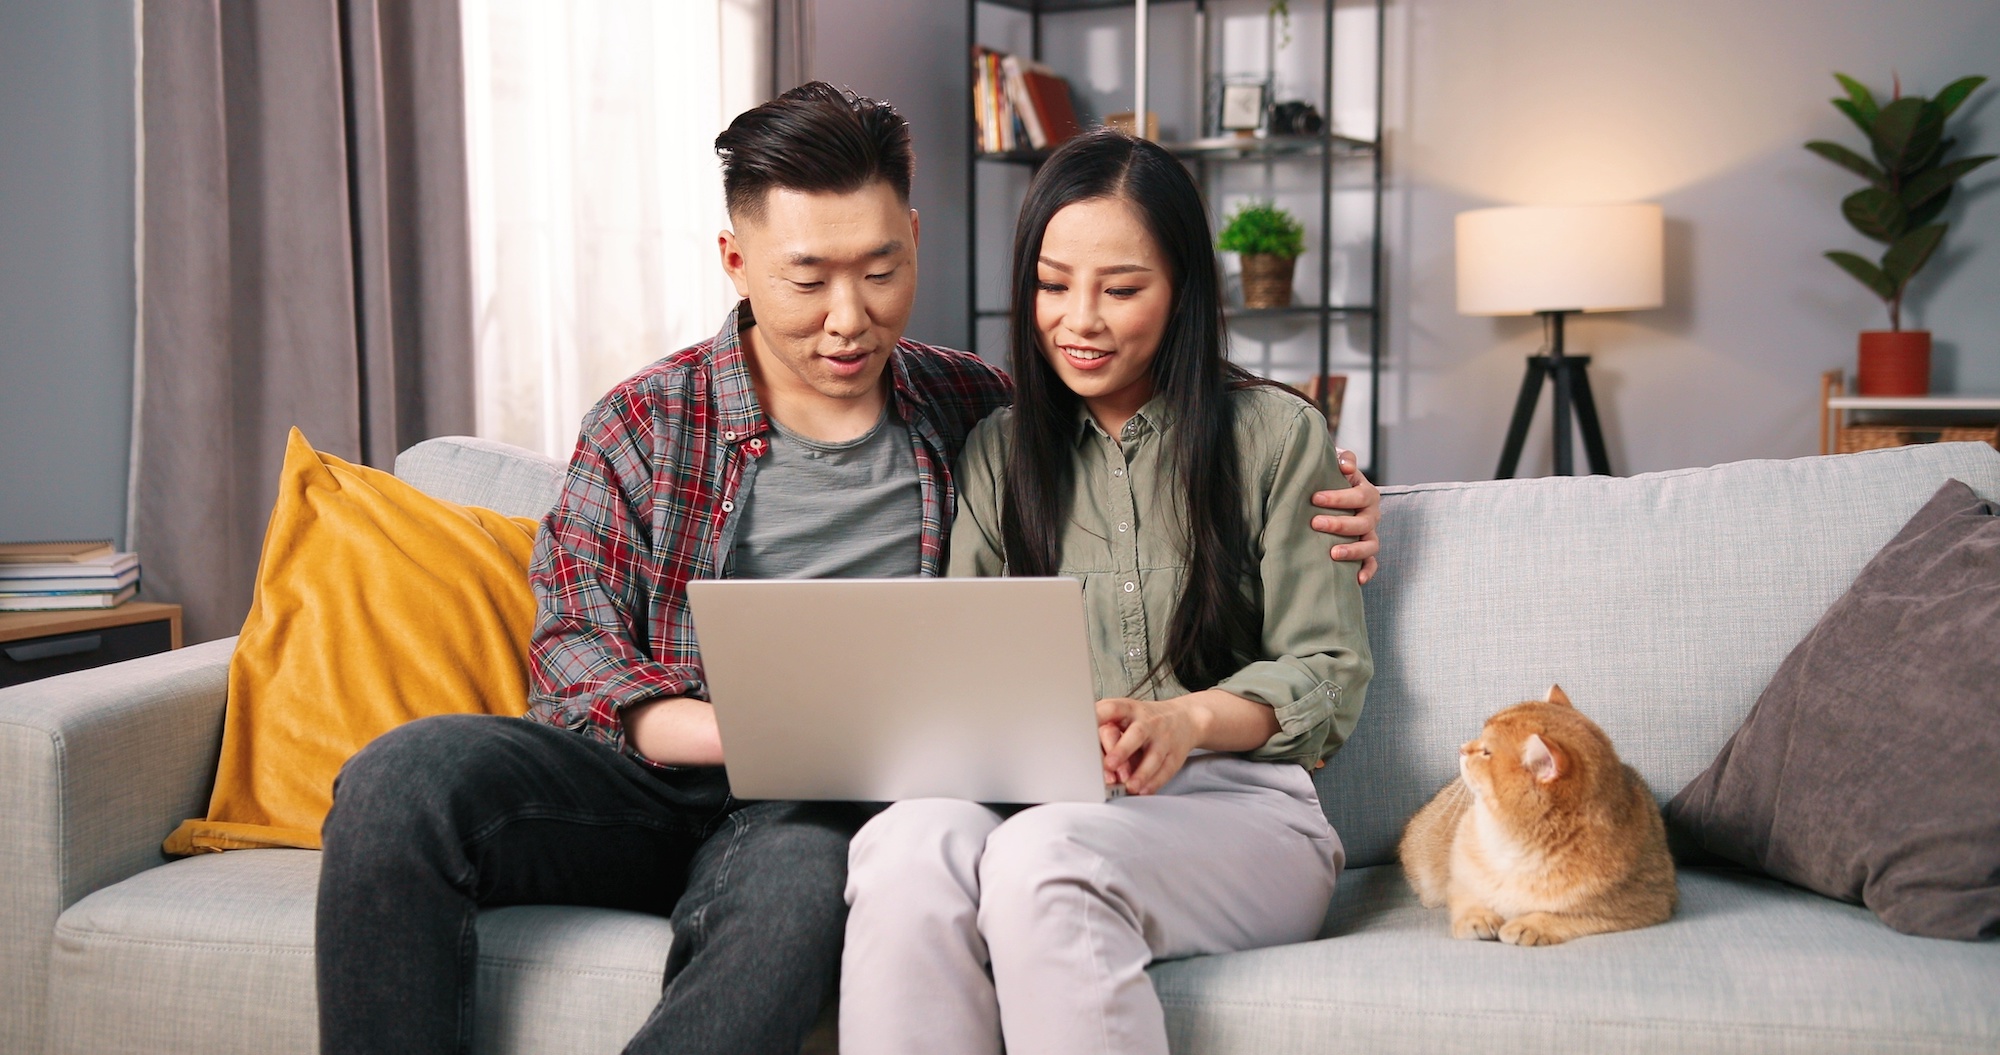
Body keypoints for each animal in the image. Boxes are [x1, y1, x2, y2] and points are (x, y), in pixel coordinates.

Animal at [1400, 687, 1680, 943]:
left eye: (1486, 751)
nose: (1461, 748)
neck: (1515, 844)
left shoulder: (1644, 903)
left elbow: (1575, 917)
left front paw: (1530, 925)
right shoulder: (1459, 877)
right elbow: (1464, 896)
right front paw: (1476, 917)